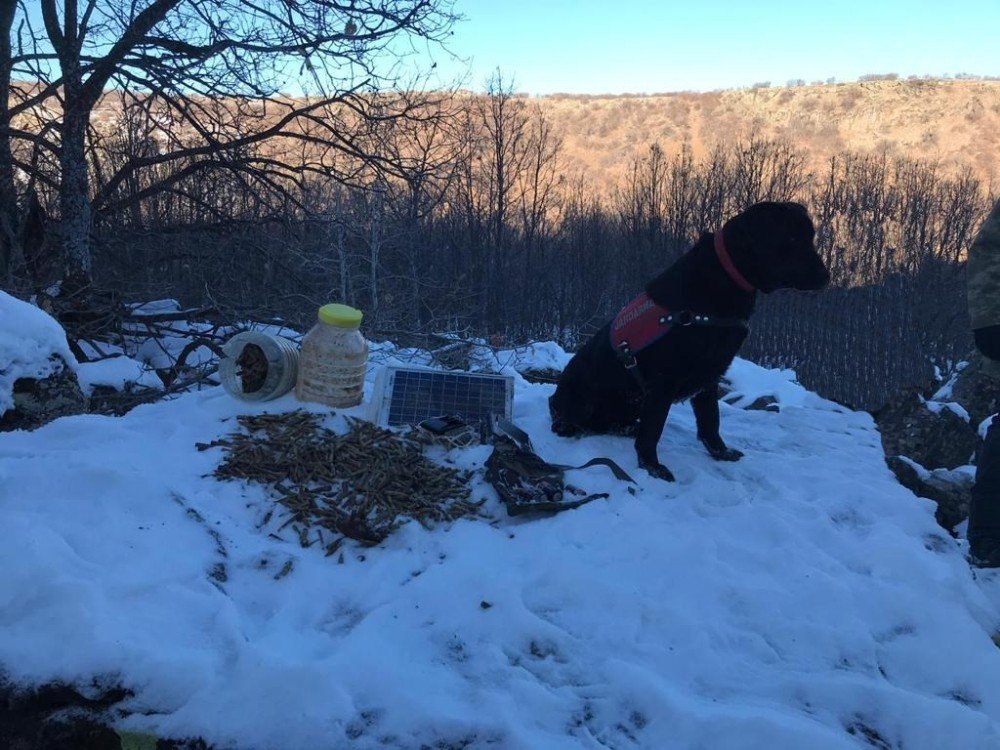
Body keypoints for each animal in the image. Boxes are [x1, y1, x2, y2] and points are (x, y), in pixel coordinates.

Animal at [548, 201, 828, 482]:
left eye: (810, 237)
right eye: (792, 238)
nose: (826, 277)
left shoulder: (710, 376)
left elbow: (711, 422)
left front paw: (720, 453)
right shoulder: (663, 382)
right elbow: (653, 431)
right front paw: (652, 467)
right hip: (582, 400)